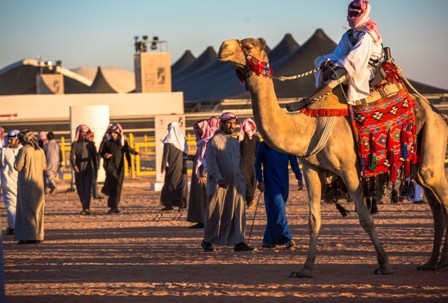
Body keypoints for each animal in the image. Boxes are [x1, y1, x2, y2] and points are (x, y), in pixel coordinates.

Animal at [219, 37, 448, 278]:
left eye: (247, 46)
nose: (223, 47)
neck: (308, 125)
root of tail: (436, 111)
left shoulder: (349, 169)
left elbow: (365, 218)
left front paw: (384, 264)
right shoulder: (310, 168)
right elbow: (313, 219)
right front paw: (305, 268)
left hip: (433, 138)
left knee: (438, 191)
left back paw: (438, 261)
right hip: (416, 161)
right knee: (436, 206)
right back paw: (432, 262)